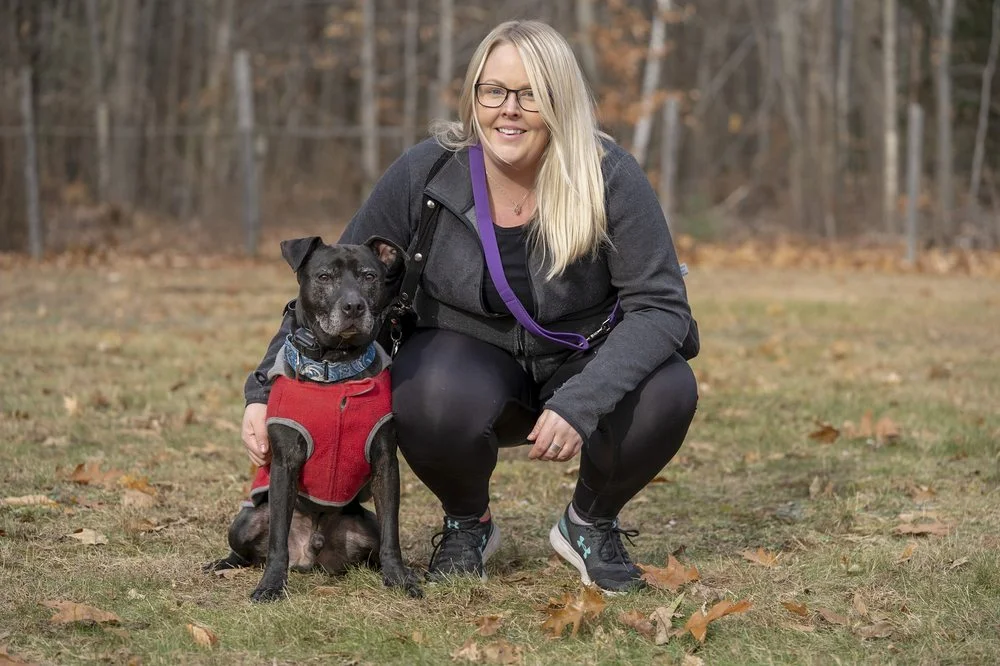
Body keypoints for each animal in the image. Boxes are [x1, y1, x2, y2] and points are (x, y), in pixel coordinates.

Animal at [206, 236, 421, 601]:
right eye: (324, 277)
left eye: (368, 276)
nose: (353, 307)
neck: (335, 369)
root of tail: (311, 552)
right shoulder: (286, 464)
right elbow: (277, 541)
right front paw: (271, 586)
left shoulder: (385, 463)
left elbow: (392, 533)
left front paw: (399, 578)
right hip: (245, 522)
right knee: (247, 549)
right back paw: (223, 564)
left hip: (366, 527)